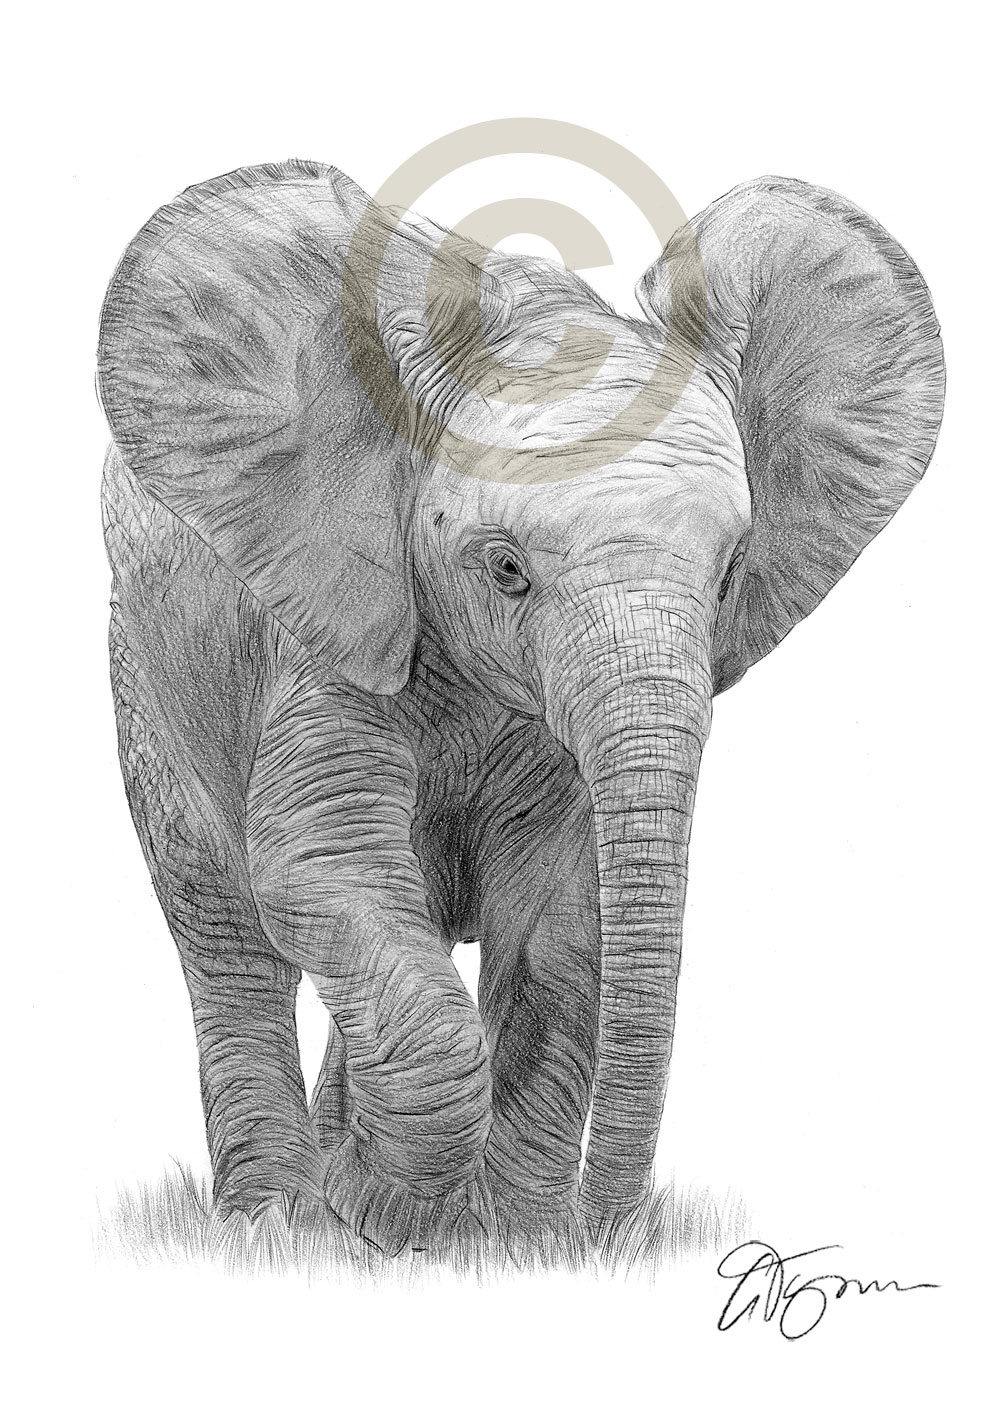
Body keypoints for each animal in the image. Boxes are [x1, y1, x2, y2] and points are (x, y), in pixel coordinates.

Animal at [97, 159, 944, 1258]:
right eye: (504, 569)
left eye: (729, 573)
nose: (612, 1231)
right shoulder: (328, 631)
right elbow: (318, 862)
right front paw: (380, 1213)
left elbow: (562, 924)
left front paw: (511, 1244)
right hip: (147, 664)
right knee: (229, 937)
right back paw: (278, 1222)